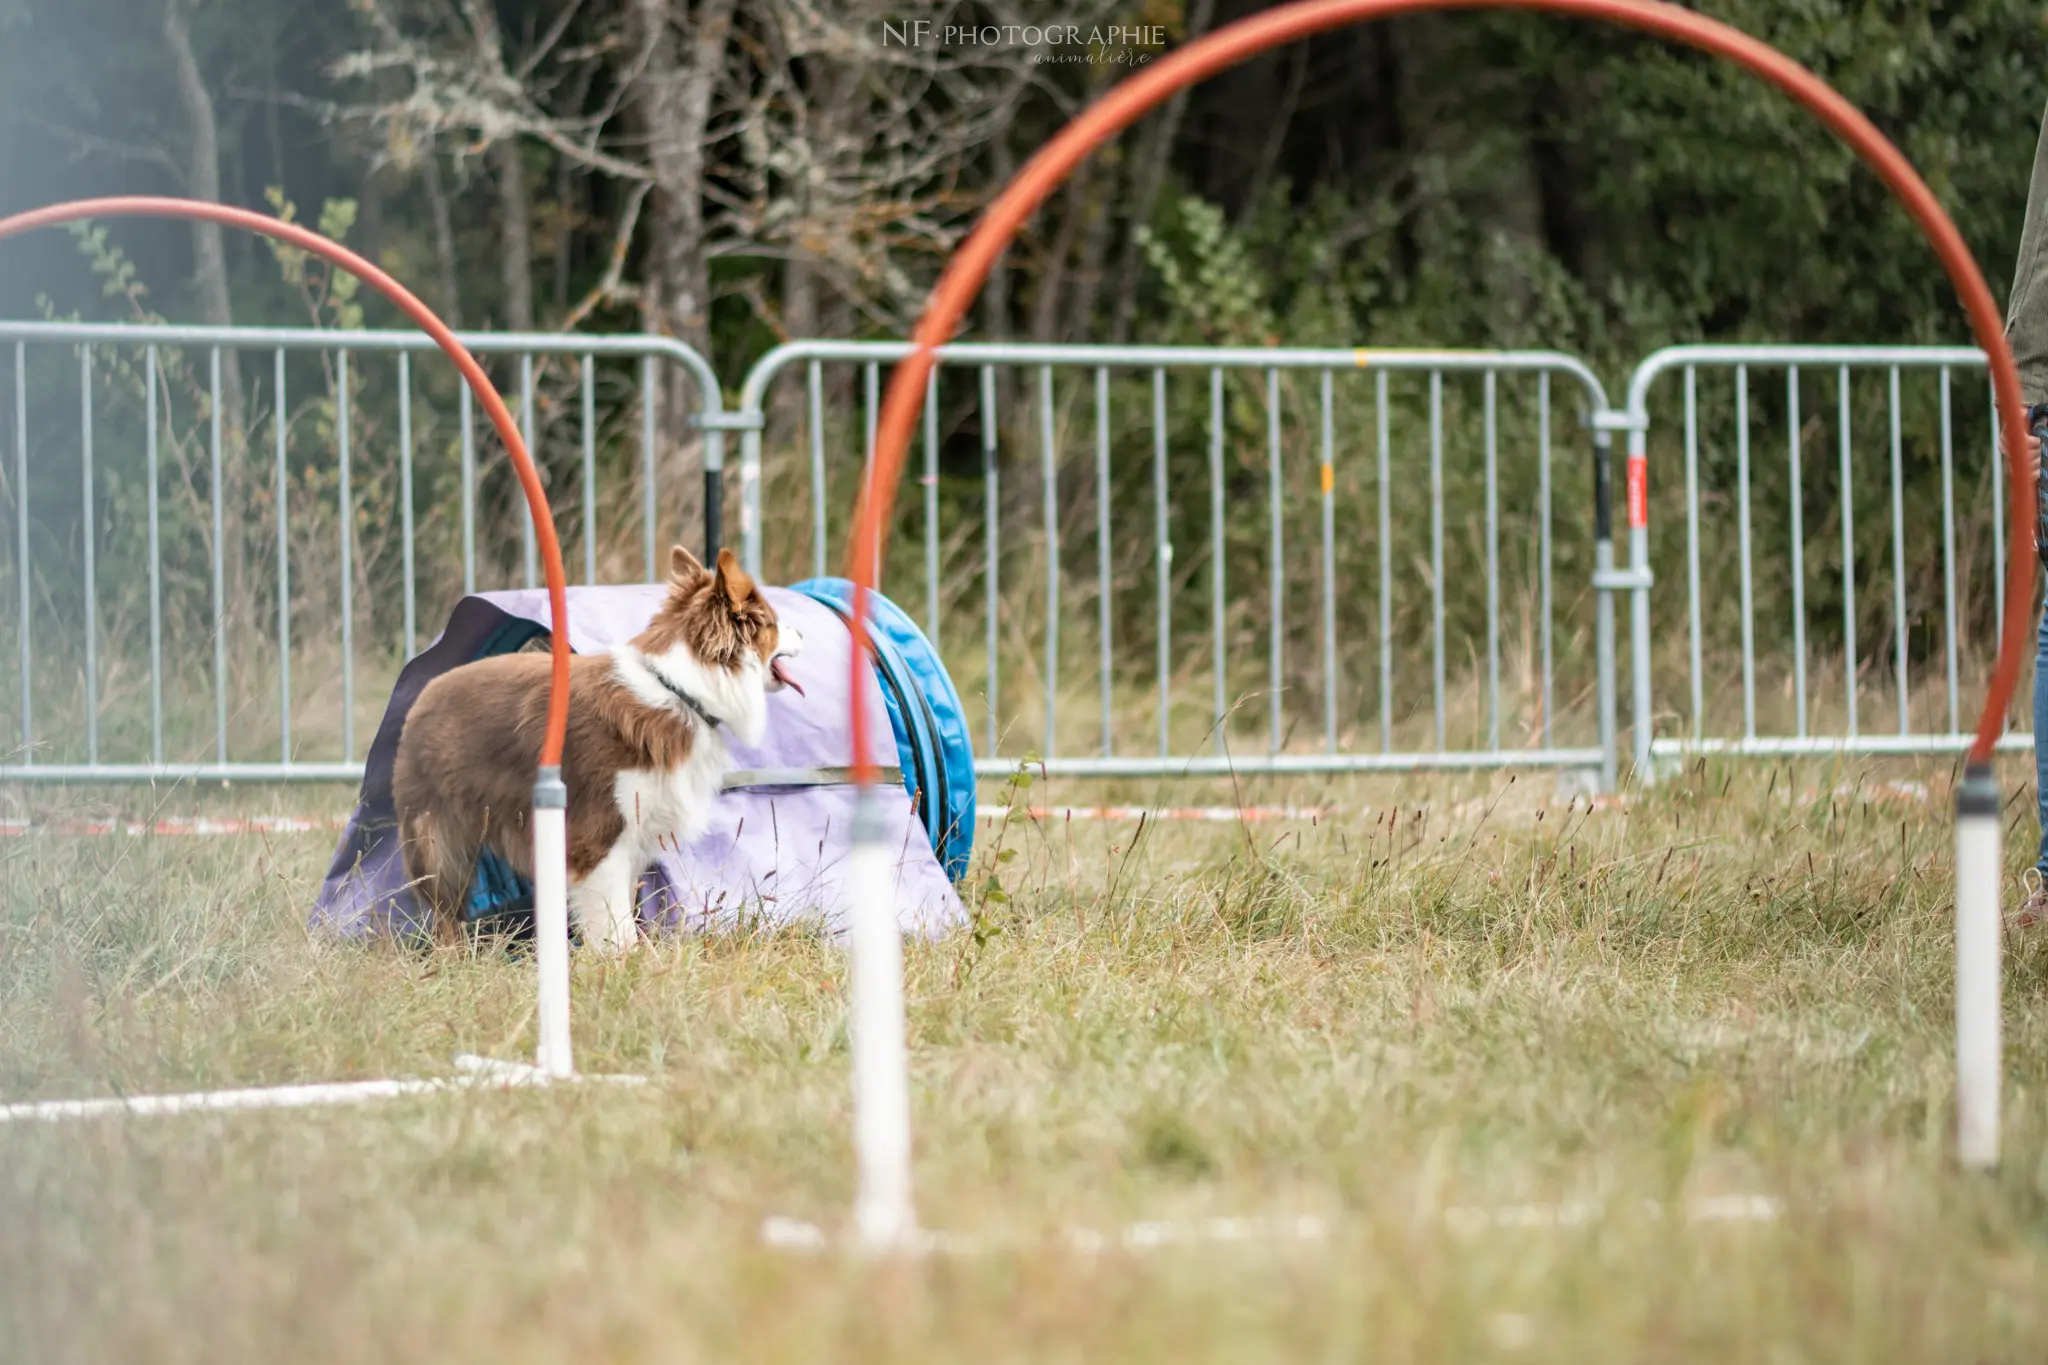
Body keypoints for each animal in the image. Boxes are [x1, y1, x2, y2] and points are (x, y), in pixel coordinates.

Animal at [391, 540, 798, 949]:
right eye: (773, 624)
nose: (802, 633)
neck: (680, 689)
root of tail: (422, 695)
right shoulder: (599, 836)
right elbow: (612, 920)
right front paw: (620, 959)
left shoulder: (634, 833)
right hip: (437, 840)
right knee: (444, 911)